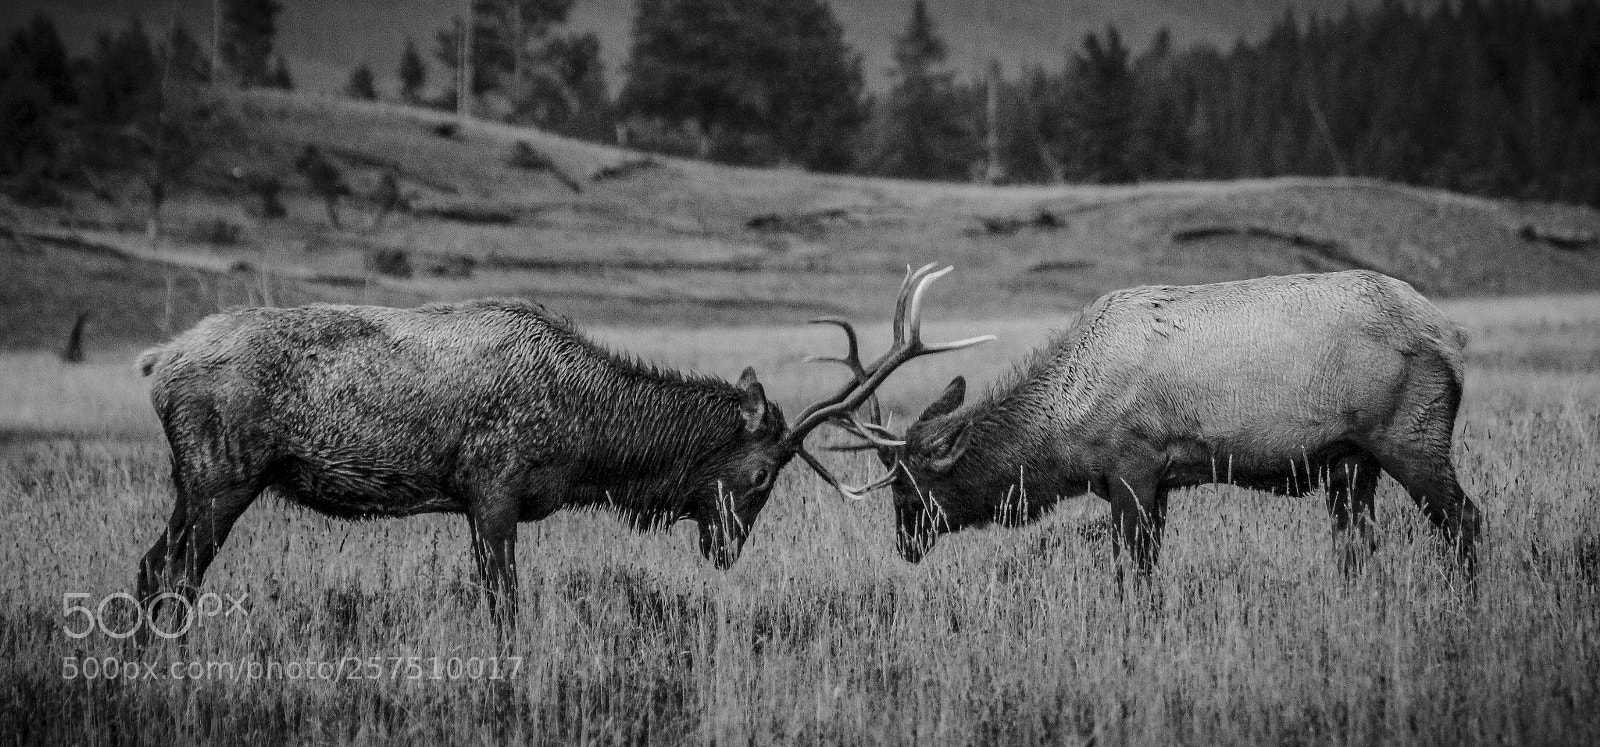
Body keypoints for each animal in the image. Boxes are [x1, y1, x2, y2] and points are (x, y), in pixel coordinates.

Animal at [132, 264, 991, 641]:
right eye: (756, 475)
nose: (725, 549)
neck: (585, 447)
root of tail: (158, 361)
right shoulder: (491, 485)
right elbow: (504, 601)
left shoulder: (481, 498)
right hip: (221, 472)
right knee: (176, 571)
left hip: (197, 479)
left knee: (151, 567)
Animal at [818, 270, 1481, 581]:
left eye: (908, 493)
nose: (905, 547)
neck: (1066, 434)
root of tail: (1453, 337)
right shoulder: (1158, 481)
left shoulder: (1132, 467)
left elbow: (1128, 570)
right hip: (1352, 462)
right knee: (1358, 541)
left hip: (1410, 436)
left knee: (1464, 519)